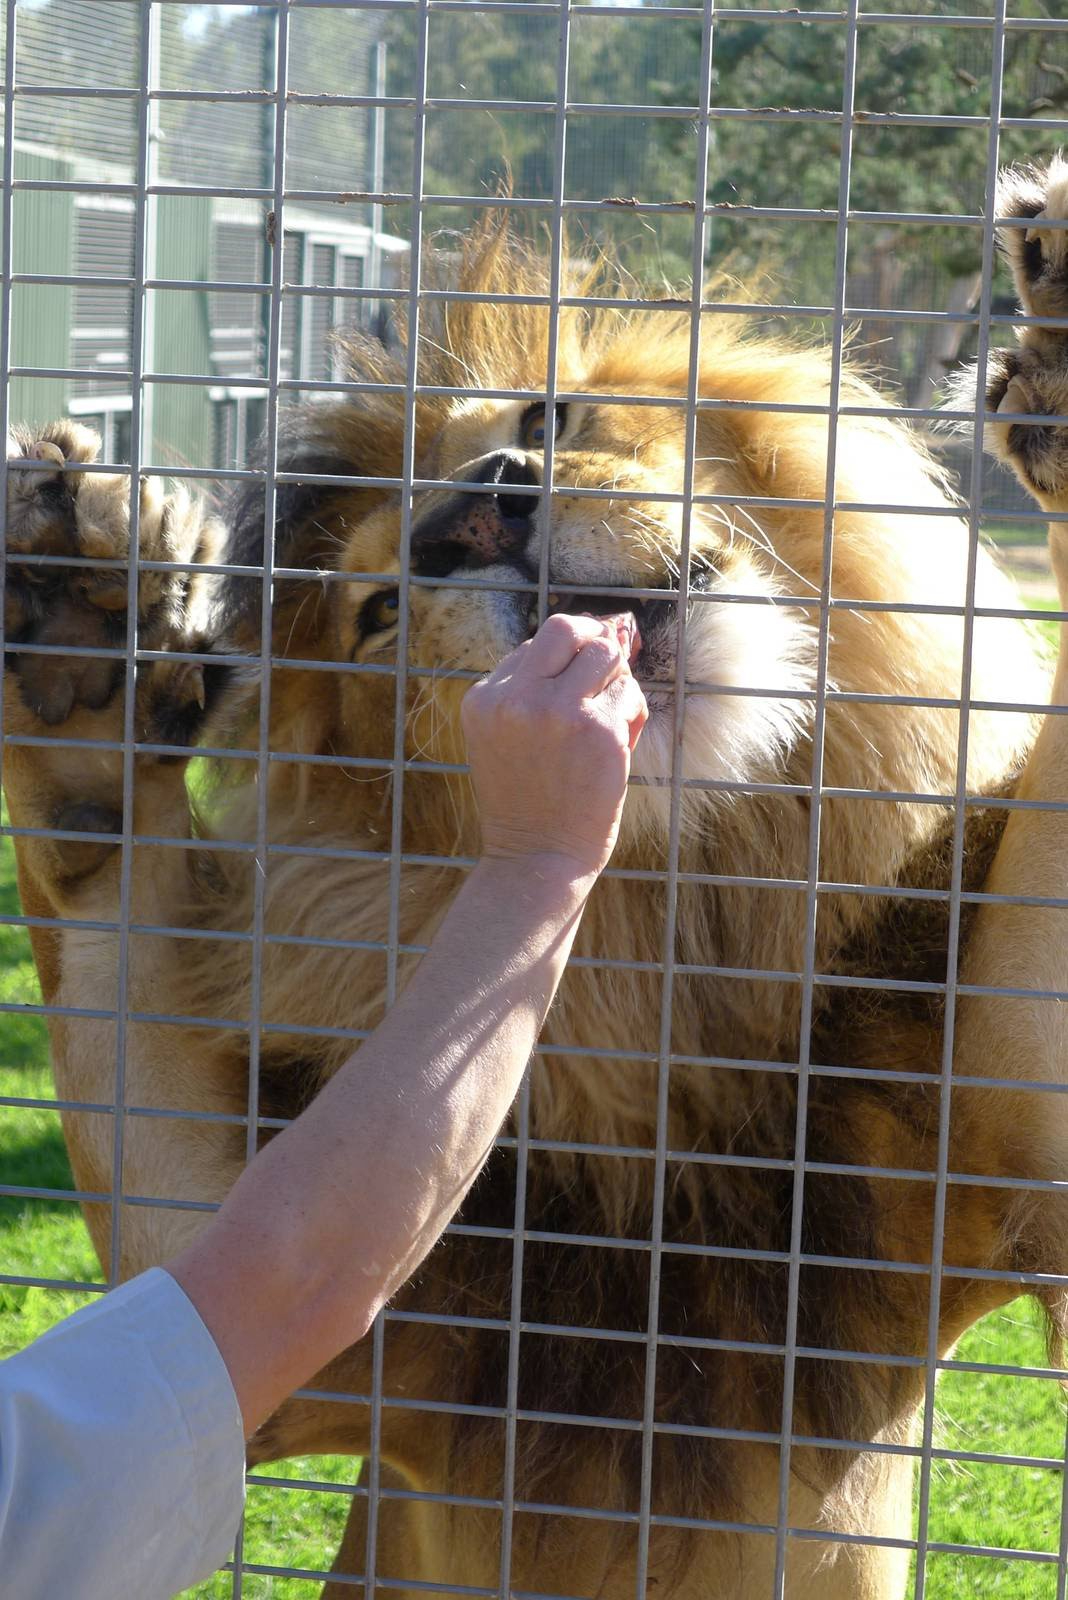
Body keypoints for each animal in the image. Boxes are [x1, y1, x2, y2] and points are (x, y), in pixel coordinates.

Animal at [5, 157, 1068, 1599]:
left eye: (544, 415)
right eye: (379, 612)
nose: (471, 514)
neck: (674, 965)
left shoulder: (1009, 1132)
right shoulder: (325, 1340)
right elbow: (109, 917)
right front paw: (74, 639)